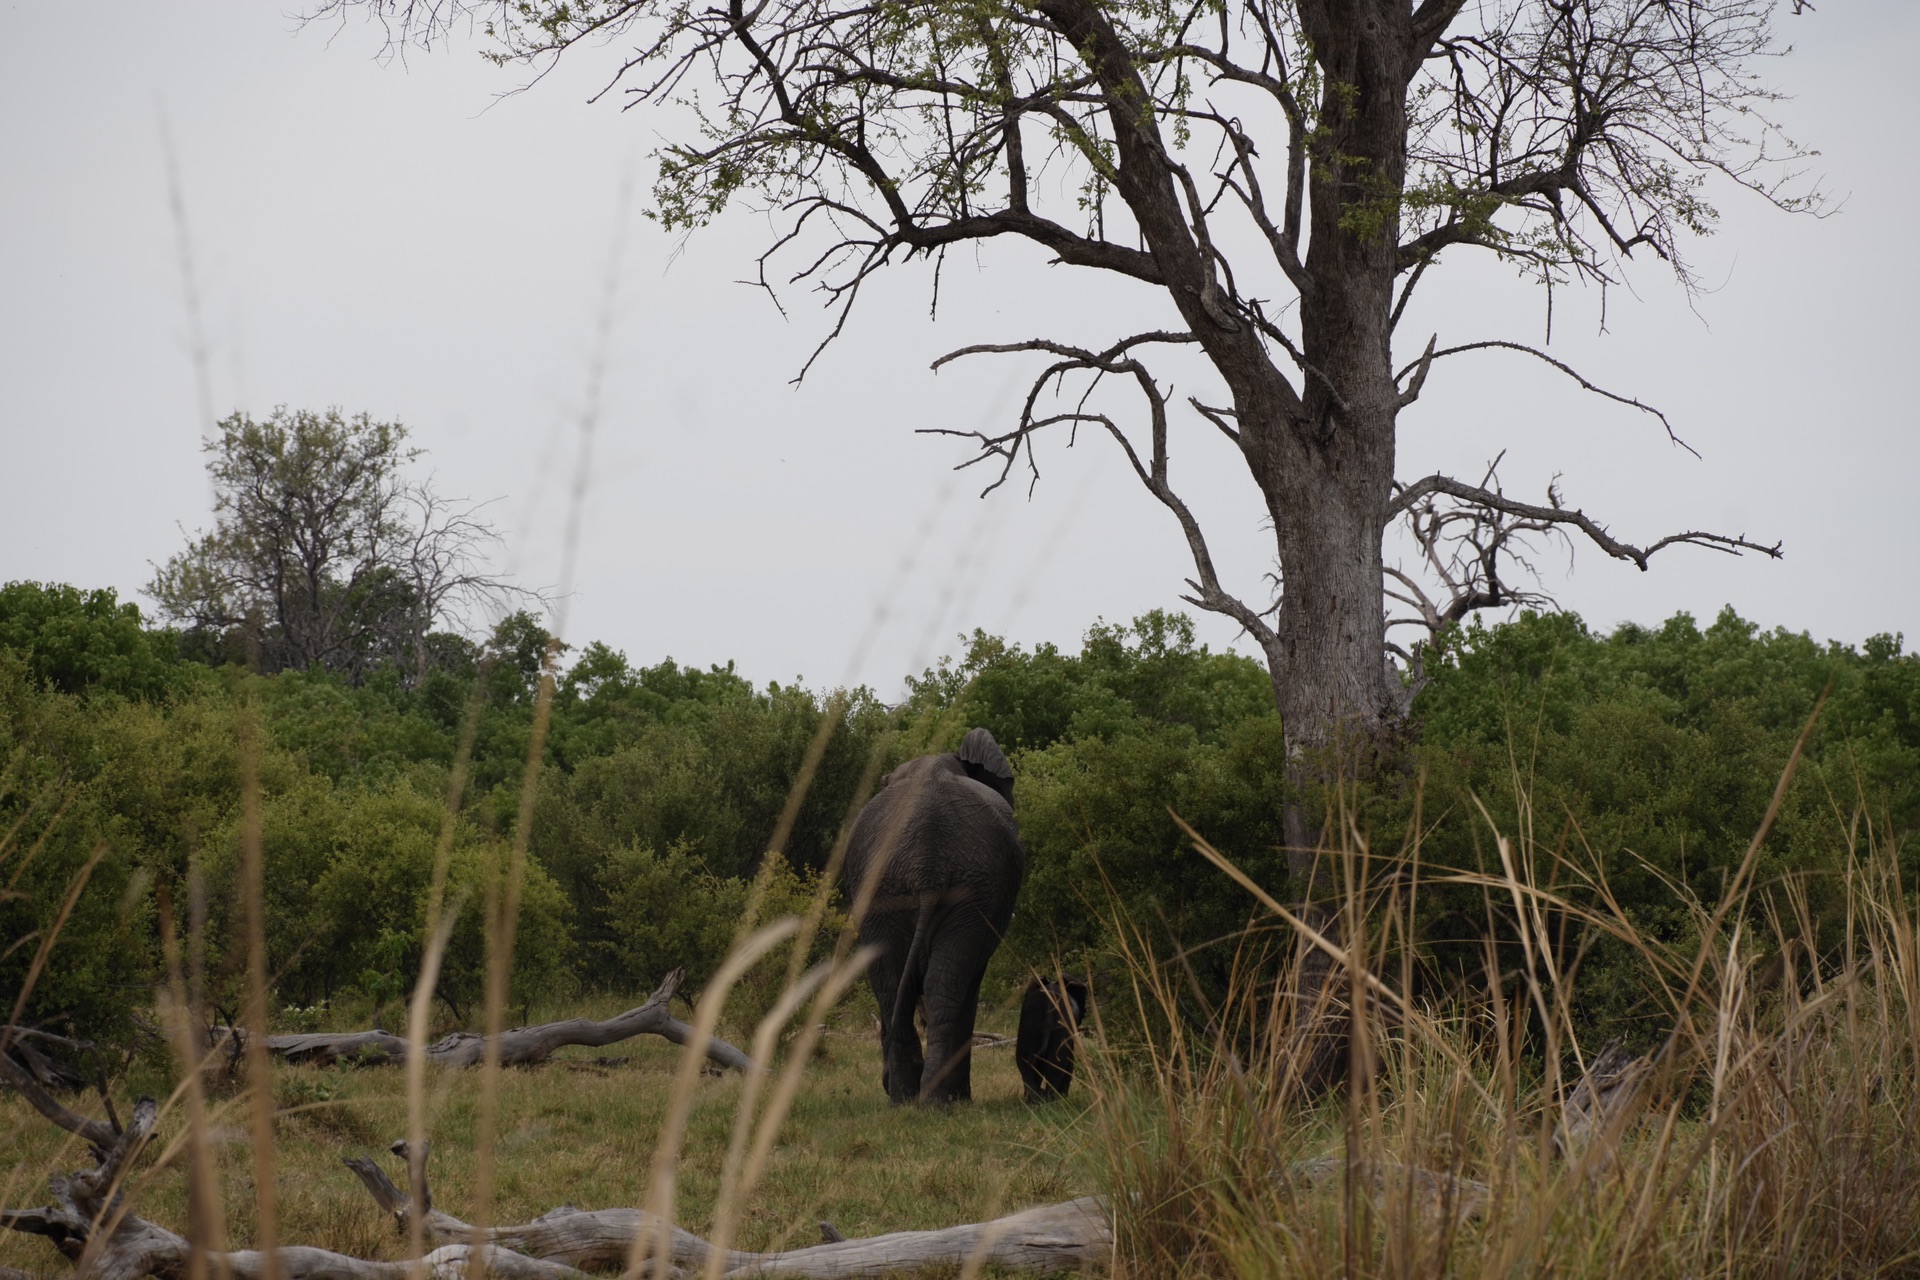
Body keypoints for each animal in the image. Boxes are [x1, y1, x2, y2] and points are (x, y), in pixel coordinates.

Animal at [840, 725, 1021, 1105]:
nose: (882, 1080)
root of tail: (927, 859)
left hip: (893, 889)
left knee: (894, 984)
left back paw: (912, 1098)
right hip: (964, 890)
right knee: (943, 983)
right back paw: (933, 1100)